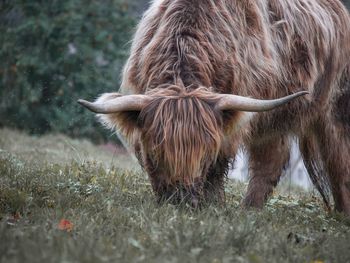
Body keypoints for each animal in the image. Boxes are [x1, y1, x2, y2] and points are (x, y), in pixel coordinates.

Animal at [79, 0, 350, 214]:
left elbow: (219, 166)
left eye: (206, 156)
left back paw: (341, 214)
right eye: (155, 155)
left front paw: (211, 203)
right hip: (274, 120)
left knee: (337, 159)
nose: (181, 202)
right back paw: (250, 209)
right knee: (272, 159)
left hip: (334, 110)